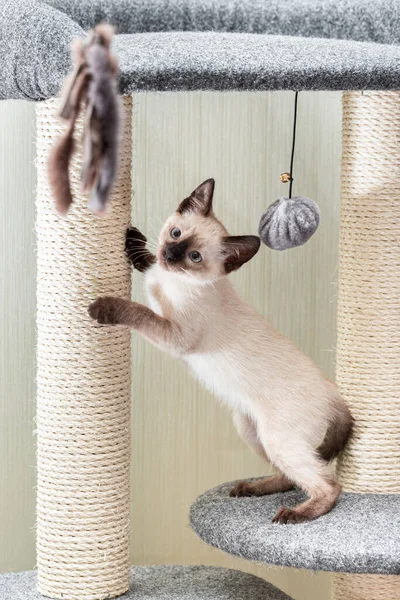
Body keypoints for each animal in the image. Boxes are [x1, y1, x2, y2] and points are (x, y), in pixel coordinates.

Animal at [88, 179, 354, 524]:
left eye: (195, 257)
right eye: (176, 233)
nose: (170, 254)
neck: (180, 280)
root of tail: (334, 393)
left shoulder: (175, 334)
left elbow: (139, 310)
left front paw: (103, 308)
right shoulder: (161, 282)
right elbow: (149, 267)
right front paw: (135, 242)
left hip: (278, 439)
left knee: (328, 484)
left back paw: (294, 515)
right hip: (251, 430)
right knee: (291, 476)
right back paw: (250, 489)